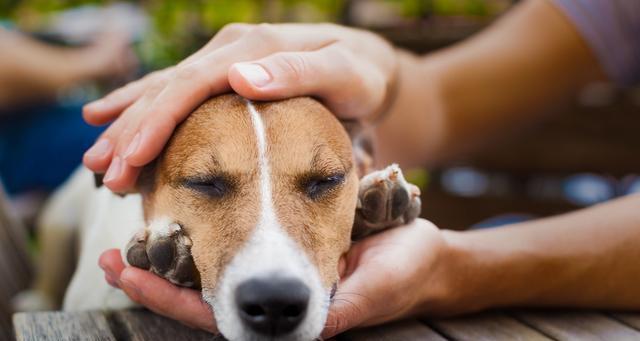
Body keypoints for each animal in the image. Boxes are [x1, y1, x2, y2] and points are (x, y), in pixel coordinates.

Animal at [16, 93, 420, 340]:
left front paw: (375, 206)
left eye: (327, 180)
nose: (274, 303)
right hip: (59, 221)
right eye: (204, 183)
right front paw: (166, 257)